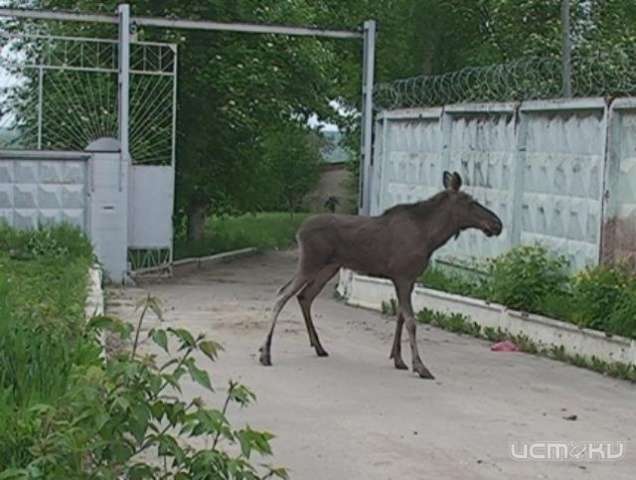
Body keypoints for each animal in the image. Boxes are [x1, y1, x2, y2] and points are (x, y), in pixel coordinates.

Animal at [258, 172, 502, 378]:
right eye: (470, 201)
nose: (497, 224)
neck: (431, 237)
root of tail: (298, 231)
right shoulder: (403, 277)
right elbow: (411, 321)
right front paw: (420, 366)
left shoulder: (407, 279)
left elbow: (400, 316)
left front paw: (399, 359)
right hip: (310, 263)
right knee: (282, 295)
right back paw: (265, 353)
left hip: (328, 268)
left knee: (304, 296)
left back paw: (318, 346)